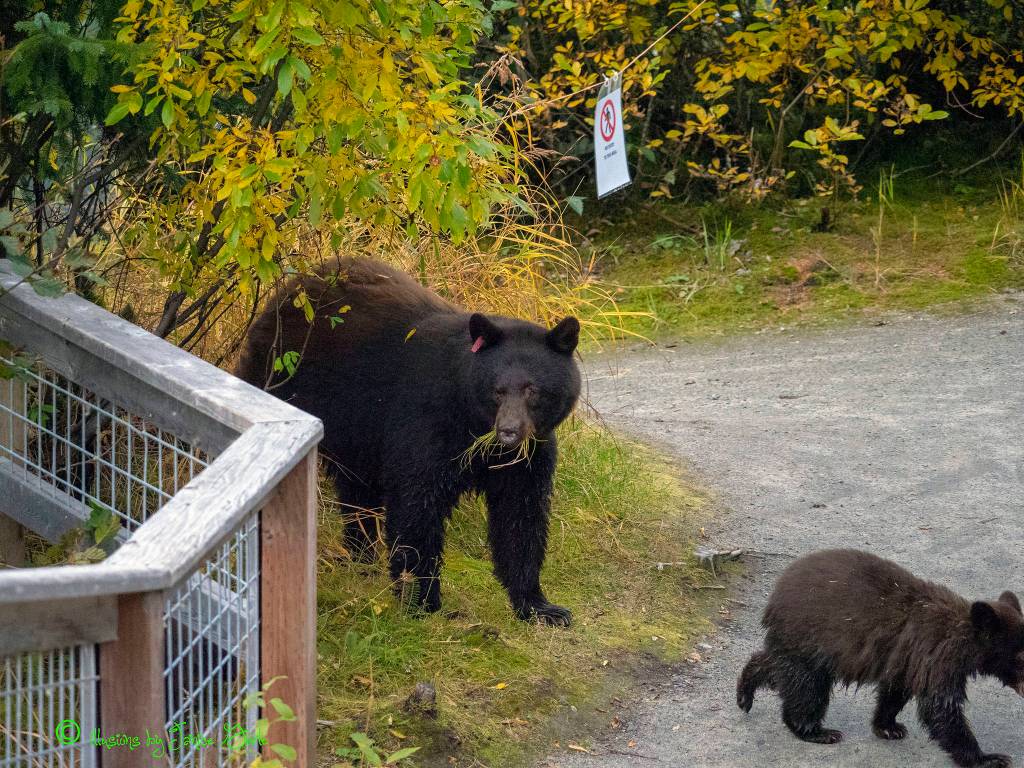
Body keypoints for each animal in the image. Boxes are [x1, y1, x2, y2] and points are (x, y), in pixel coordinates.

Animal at [235, 258, 581, 625]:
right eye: (497, 390)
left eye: (532, 389)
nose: (509, 432)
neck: (474, 428)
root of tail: (287, 291)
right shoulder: (427, 422)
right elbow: (417, 503)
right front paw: (421, 599)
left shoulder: (529, 454)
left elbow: (522, 514)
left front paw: (540, 606)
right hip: (284, 381)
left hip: (360, 435)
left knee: (357, 490)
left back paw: (362, 555)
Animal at [737, 548, 1024, 767]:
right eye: (1021, 656)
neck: (962, 632)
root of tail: (775, 594)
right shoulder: (935, 656)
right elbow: (940, 707)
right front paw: (988, 758)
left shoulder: (904, 660)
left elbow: (896, 689)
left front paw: (888, 726)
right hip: (809, 640)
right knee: (806, 688)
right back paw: (818, 731)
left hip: (798, 644)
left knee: (780, 669)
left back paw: (744, 692)